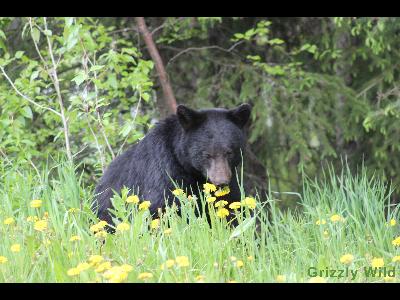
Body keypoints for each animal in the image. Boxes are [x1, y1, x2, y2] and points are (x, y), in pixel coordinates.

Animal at [92, 103, 252, 225]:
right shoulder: (164, 172)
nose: (221, 182)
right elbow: (161, 207)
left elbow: (232, 208)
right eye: (206, 154)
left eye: (229, 152)